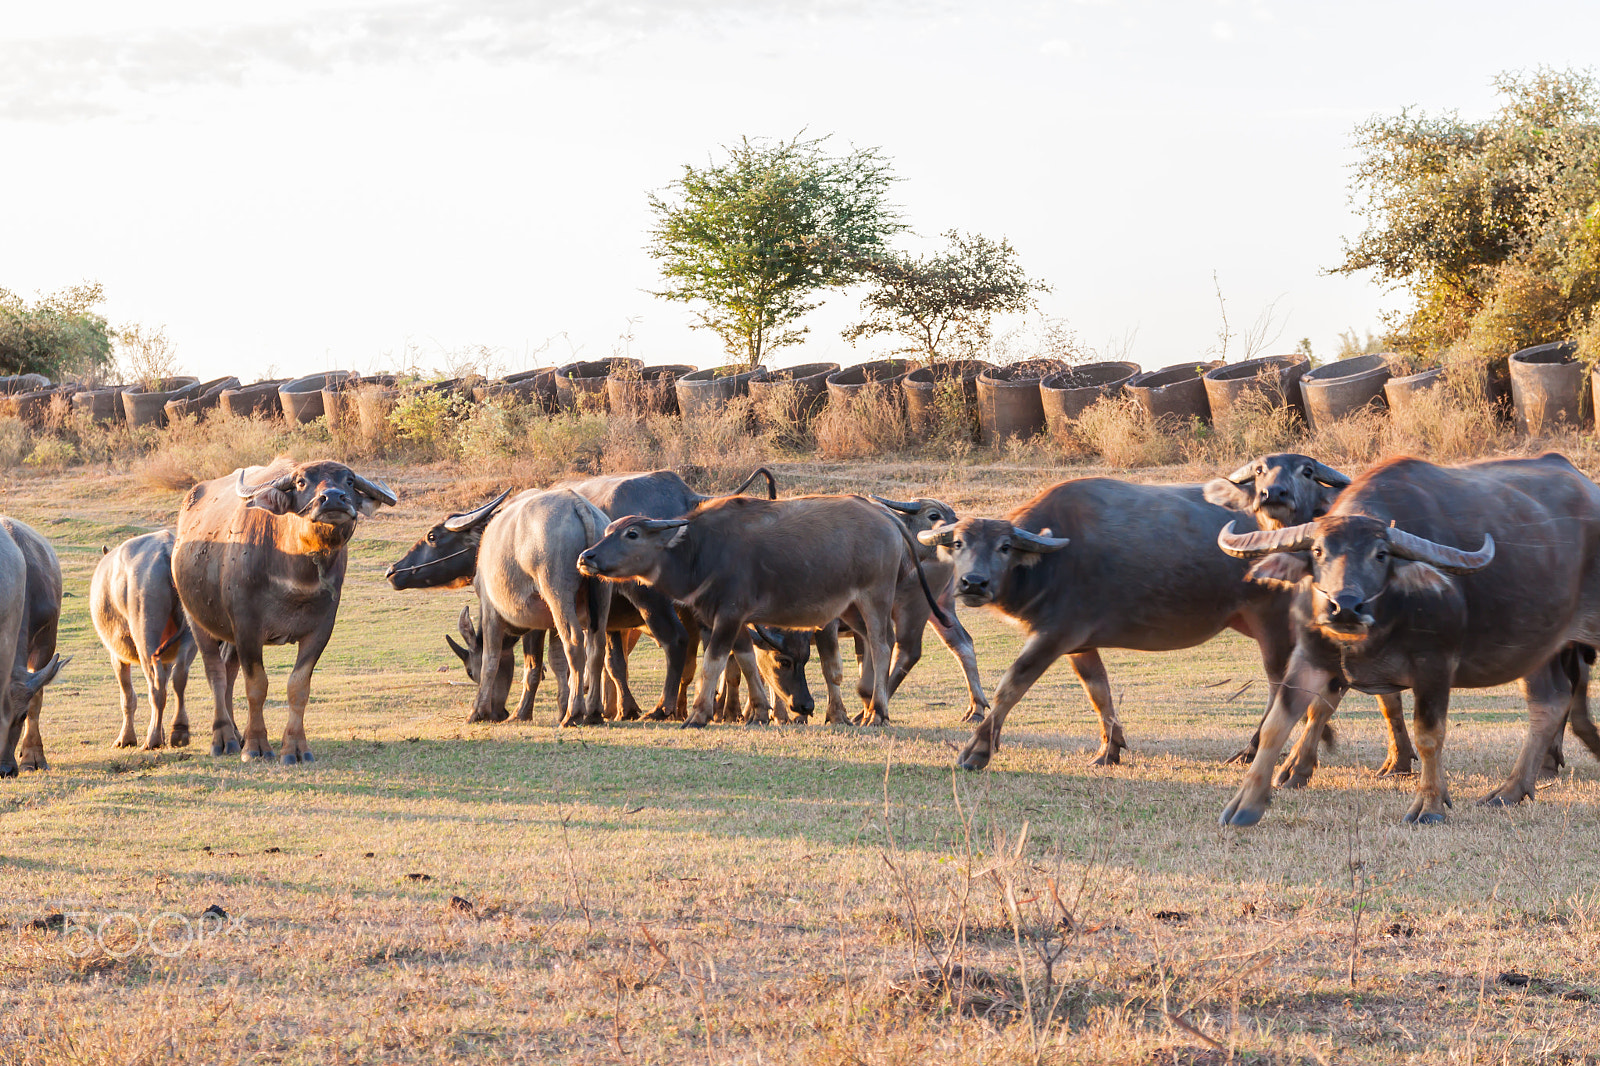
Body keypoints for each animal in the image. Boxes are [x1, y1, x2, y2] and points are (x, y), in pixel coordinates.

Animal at [173, 459, 397, 762]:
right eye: (301, 482)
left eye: (349, 481)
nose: (333, 499)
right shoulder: (248, 627)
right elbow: (257, 685)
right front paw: (256, 746)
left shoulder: (320, 631)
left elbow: (298, 687)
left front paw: (295, 748)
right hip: (197, 620)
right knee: (216, 673)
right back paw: (224, 738)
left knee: (229, 671)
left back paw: (237, 732)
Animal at [1216, 453, 1600, 826]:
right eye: (1318, 551)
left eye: (1381, 554)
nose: (1345, 607)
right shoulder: (1312, 658)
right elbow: (1280, 722)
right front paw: (1247, 803)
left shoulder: (1435, 665)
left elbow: (1429, 735)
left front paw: (1429, 806)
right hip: (1540, 647)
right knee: (1551, 702)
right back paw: (1510, 791)